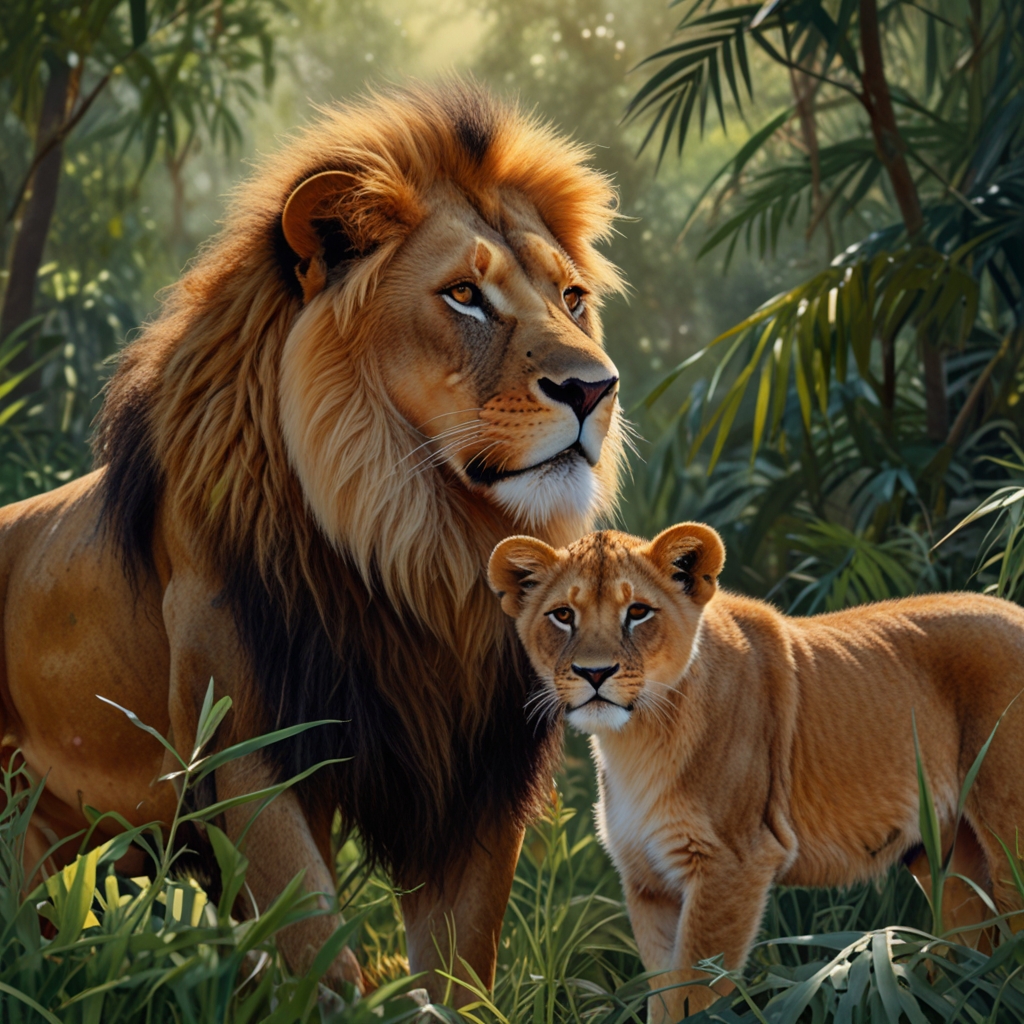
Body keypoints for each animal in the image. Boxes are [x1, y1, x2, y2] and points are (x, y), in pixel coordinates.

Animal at [0, 81, 627, 998]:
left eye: (573, 298)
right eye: (465, 296)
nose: (596, 388)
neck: (414, 547)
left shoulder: (476, 770)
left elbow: (460, 966)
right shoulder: (245, 749)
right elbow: (315, 953)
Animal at [488, 523, 1024, 1020]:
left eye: (637, 612)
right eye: (563, 615)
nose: (594, 673)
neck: (635, 740)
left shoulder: (733, 863)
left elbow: (694, 996)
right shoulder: (648, 881)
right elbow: (663, 993)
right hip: (950, 858)